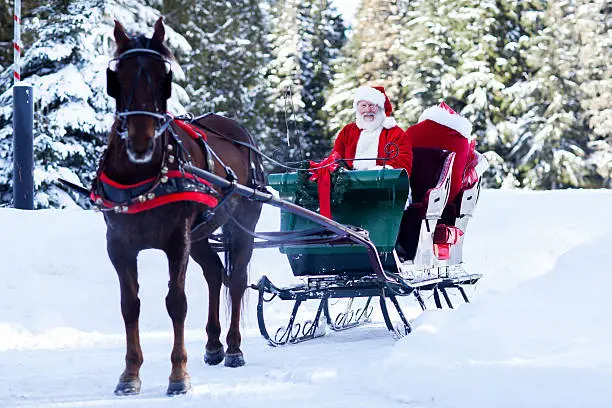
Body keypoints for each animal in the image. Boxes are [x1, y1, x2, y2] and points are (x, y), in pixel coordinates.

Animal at [97, 18, 264, 396]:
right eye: (117, 76)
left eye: (165, 75)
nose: (141, 140)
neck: (142, 177)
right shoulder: (119, 245)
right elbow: (129, 305)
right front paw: (130, 375)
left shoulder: (177, 241)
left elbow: (176, 302)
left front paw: (178, 375)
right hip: (200, 234)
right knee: (215, 273)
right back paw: (214, 345)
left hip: (241, 224)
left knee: (236, 279)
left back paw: (234, 348)